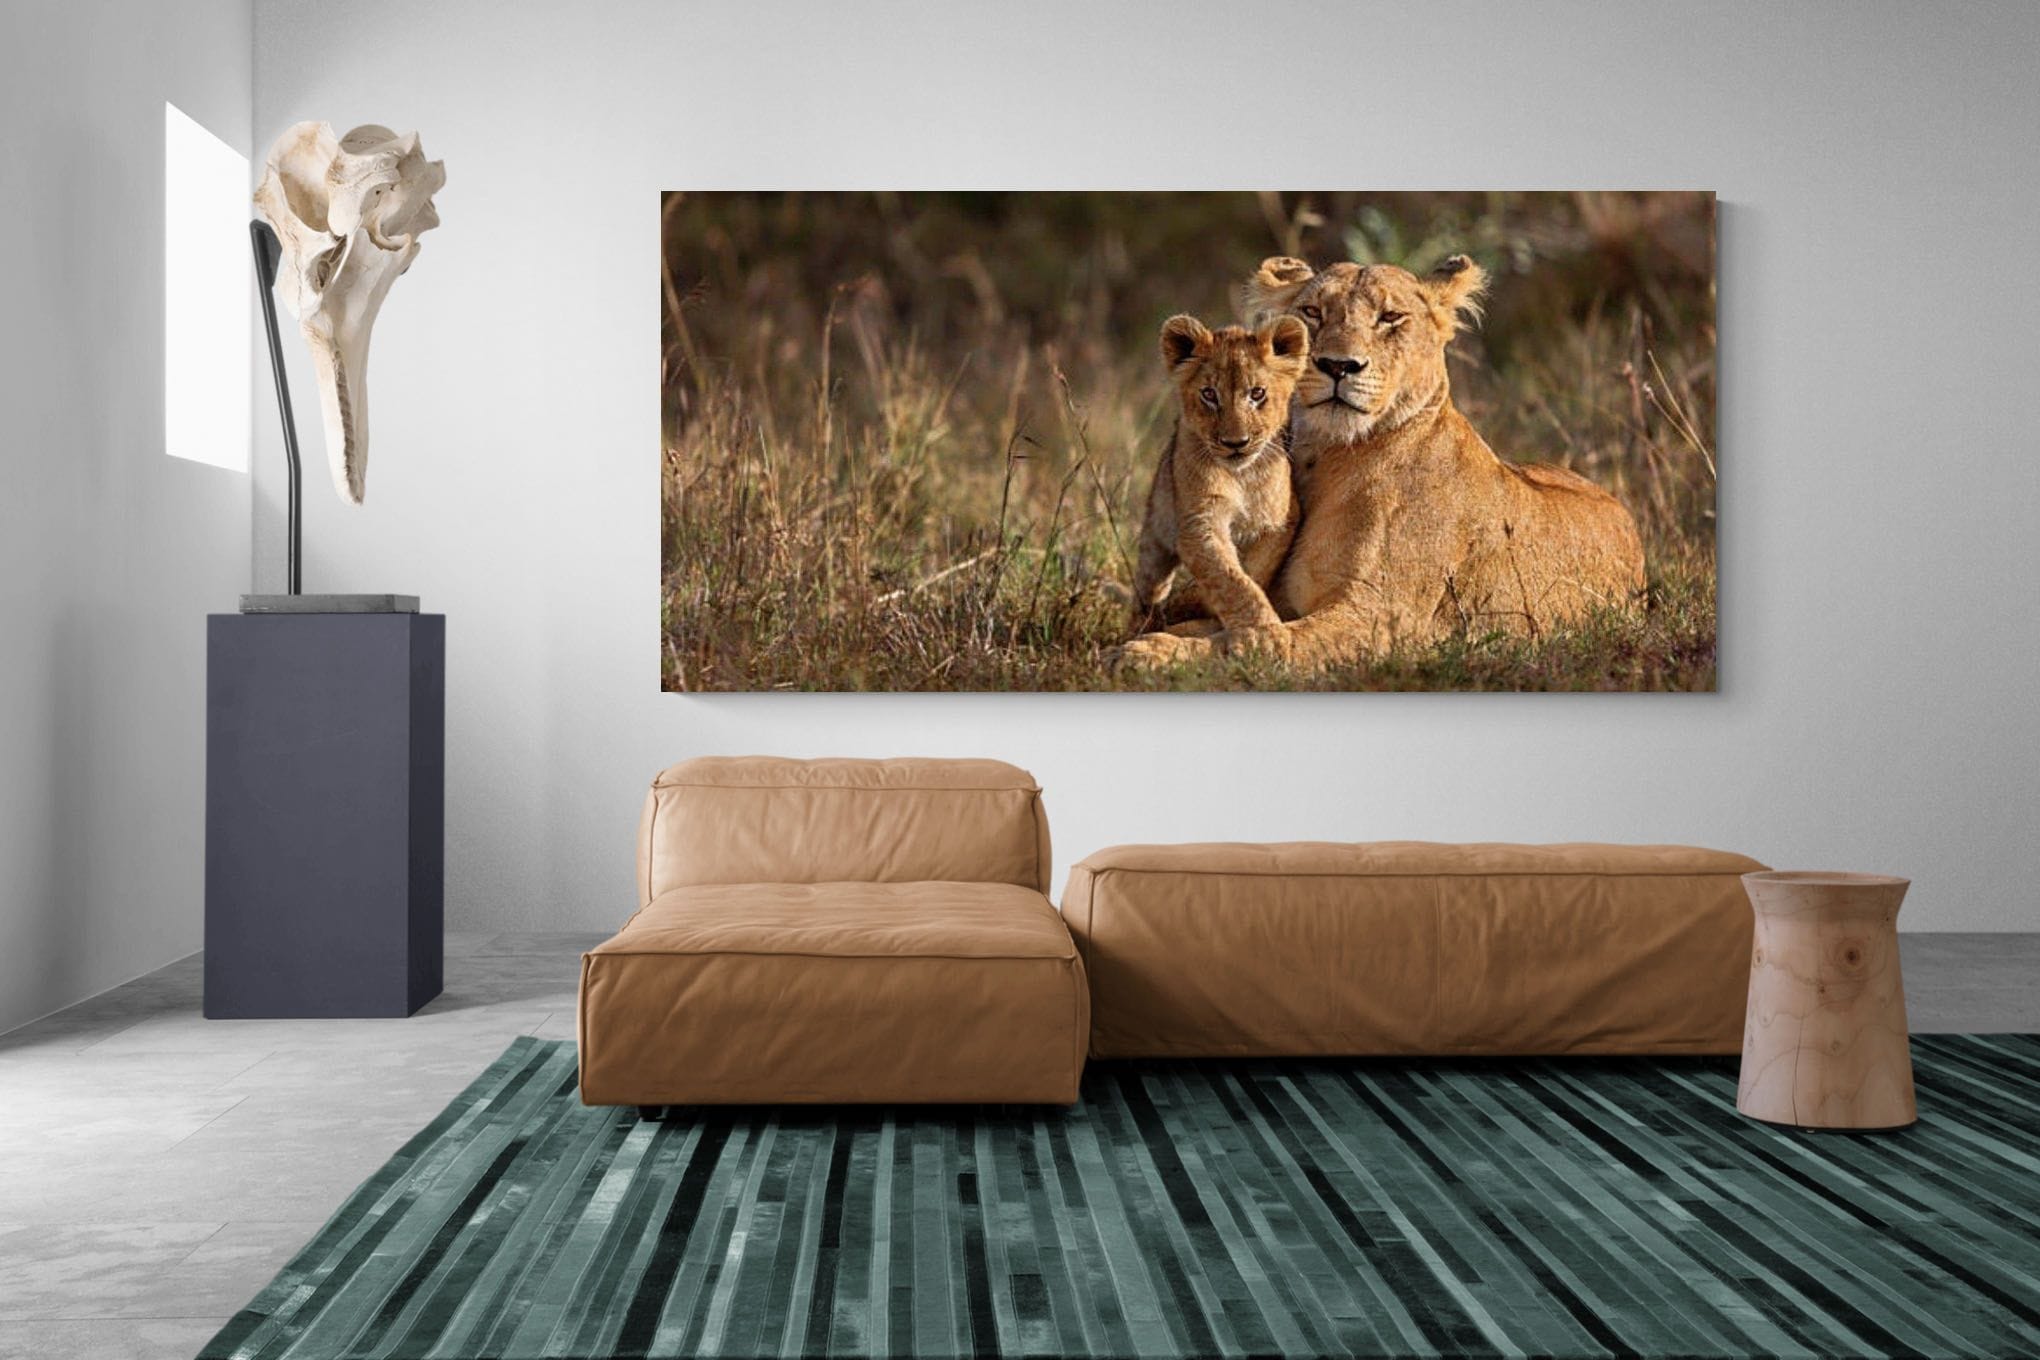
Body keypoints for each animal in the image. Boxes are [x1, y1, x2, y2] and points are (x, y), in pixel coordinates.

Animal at [1127, 314, 1310, 637]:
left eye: (1257, 393)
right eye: (1209, 394)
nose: (1235, 443)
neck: (1242, 477)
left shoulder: (1281, 521)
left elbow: (1252, 571)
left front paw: (1201, 602)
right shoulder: (1199, 522)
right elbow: (1230, 580)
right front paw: (1264, 632)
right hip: (1155, 536)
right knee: (1148, 588)